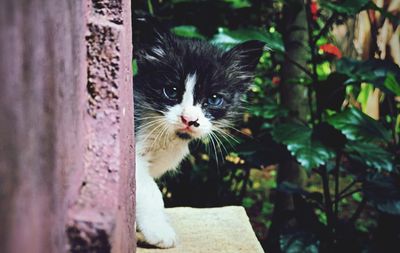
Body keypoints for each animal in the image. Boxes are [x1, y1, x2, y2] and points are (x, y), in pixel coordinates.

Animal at [134, 15, 266, 247]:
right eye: (171, 91)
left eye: (214, 99)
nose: (189, 119)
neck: (168, 138)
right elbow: (149, 188)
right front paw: (159, 231)